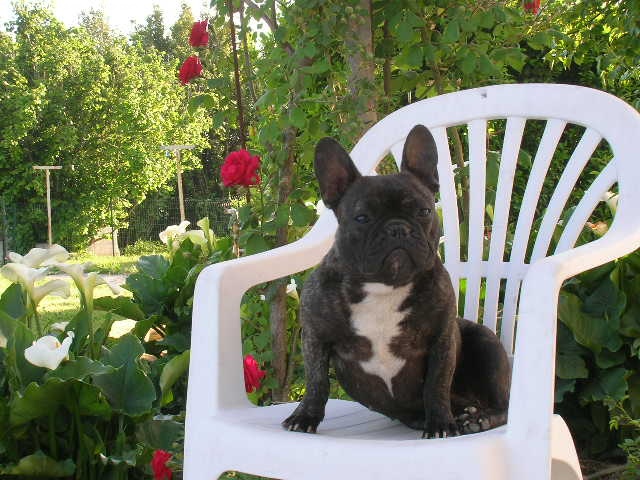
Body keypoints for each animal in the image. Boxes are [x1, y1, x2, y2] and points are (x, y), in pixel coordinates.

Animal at [282, 125, 511, 438]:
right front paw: (305, 416)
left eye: (424, 211)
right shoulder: (315, 336)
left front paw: (440, 424)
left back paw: (478, 419)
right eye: (362, 217)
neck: (384, 285)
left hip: (486, 344)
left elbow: (436, 384)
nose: (397, 228)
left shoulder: (442, 337)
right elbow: (317, 382)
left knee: (503, 406)